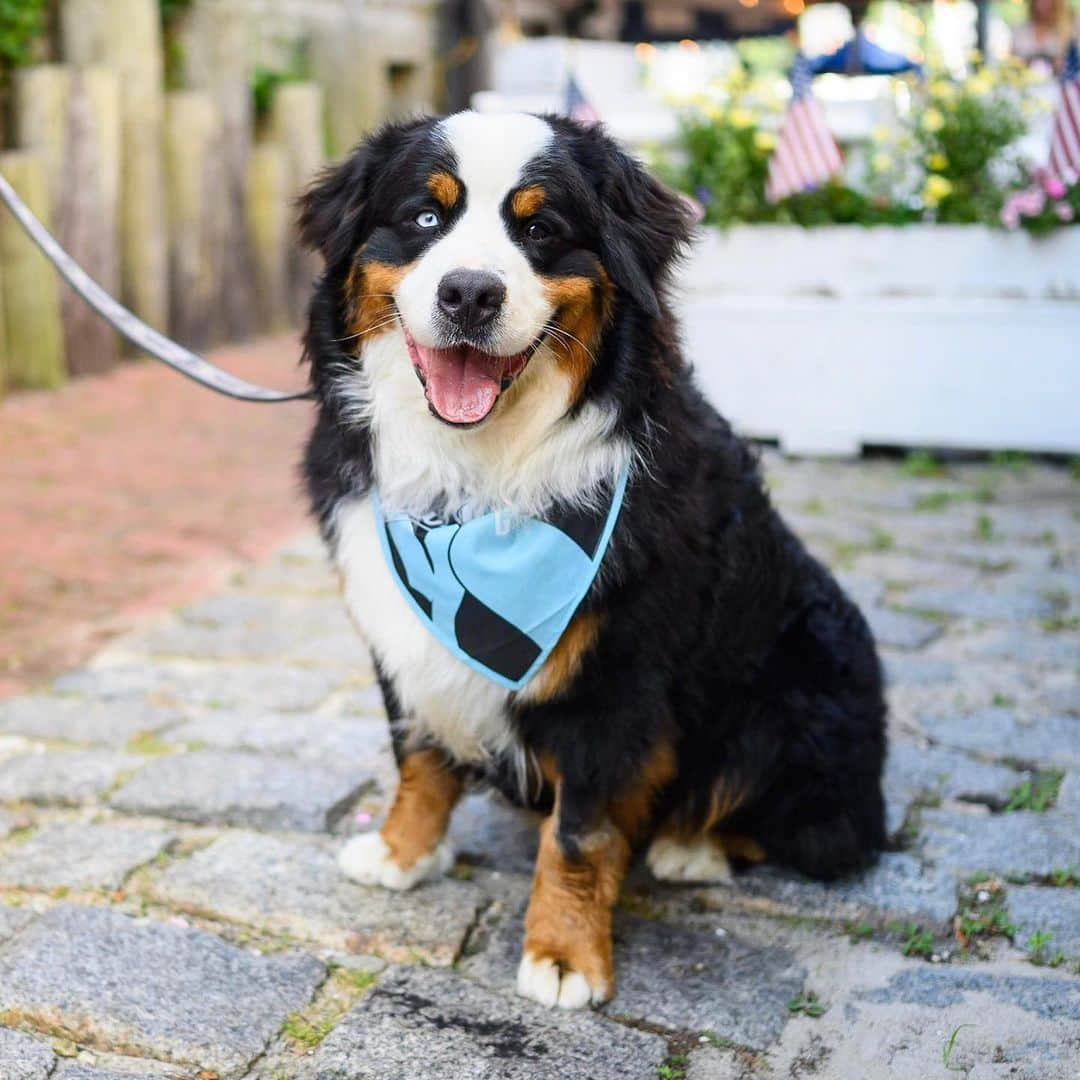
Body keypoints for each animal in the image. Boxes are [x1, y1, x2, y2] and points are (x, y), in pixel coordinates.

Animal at [295, 111, 885, 1010]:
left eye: (540, 230)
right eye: (425, 217)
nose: (470, 292)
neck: (476, 480)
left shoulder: (618, 678)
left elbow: (580, 832)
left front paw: (566, 954)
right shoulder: (405, 634)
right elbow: (420, 758)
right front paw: (402, 854)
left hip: (804, 689)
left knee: (820, 828)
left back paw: (691, 846)